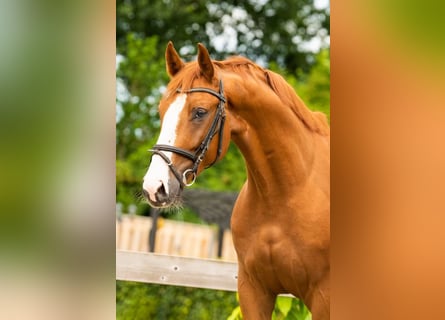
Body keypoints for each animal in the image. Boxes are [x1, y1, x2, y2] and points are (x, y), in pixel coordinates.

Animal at [143, 42, 330, 320]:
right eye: (161, 111)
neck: (285, 192)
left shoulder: (322, 296)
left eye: (200, 112)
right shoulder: (252, 290)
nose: (154, 187)